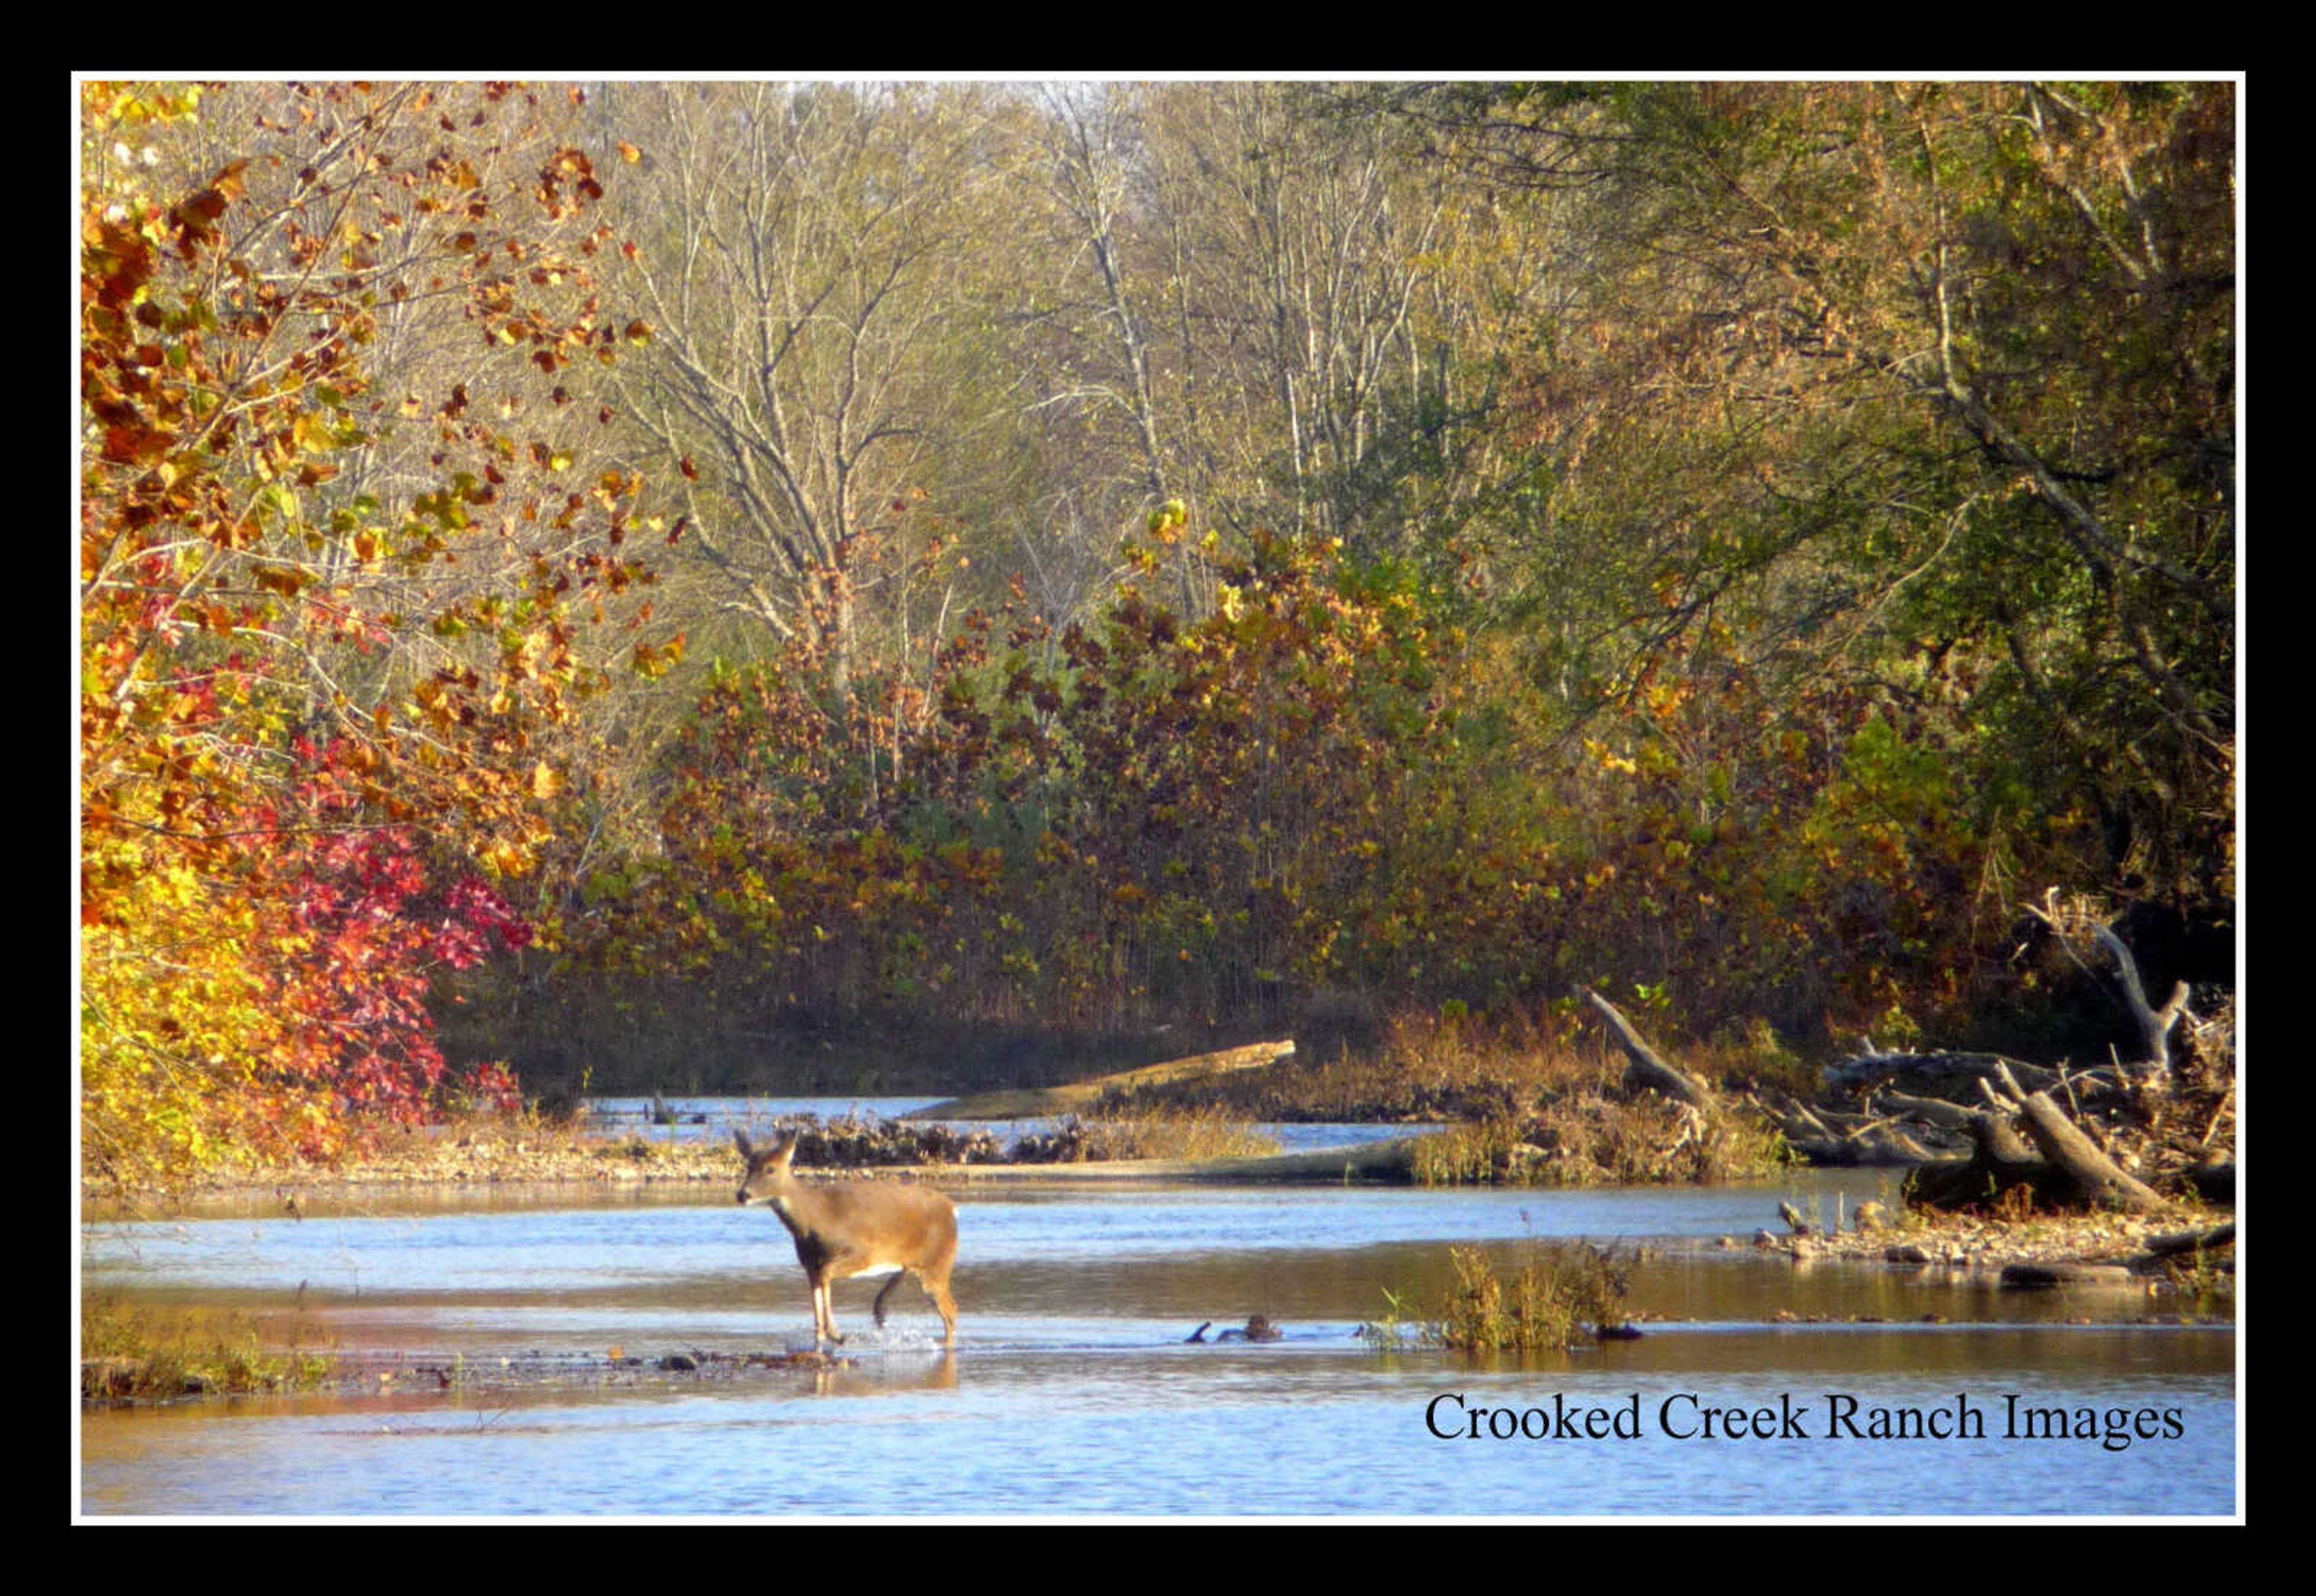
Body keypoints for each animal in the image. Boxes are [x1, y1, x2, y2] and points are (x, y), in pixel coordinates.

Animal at [741, 1126, 958, 1352]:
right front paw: (824, 1339)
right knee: (885, 1302)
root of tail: (952, 1209)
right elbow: (817, 1309)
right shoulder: (809, 1265)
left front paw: (837, 1335)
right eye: (748, 1166)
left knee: (951, 1310)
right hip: (910, 1264)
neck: (817, 1220)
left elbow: (827, 1275)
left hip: (937, 1262)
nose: (743, 1195)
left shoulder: (863, 1252)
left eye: (770, 1169)